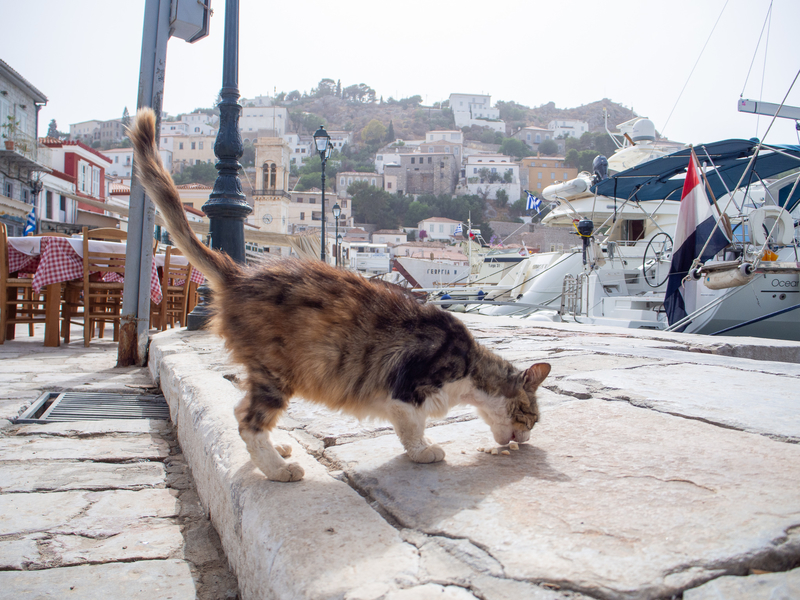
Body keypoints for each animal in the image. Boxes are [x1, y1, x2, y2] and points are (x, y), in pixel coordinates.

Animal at [131, 108, 552, 482]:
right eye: (531, 417)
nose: (528, 439)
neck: (470, 371)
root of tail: (242, 273)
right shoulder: (406, 389)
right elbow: (412, 429)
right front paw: (424, 451)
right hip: (276, 372)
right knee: (248, 422)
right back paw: (279, 469)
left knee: (239, 411)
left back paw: (276, 448)